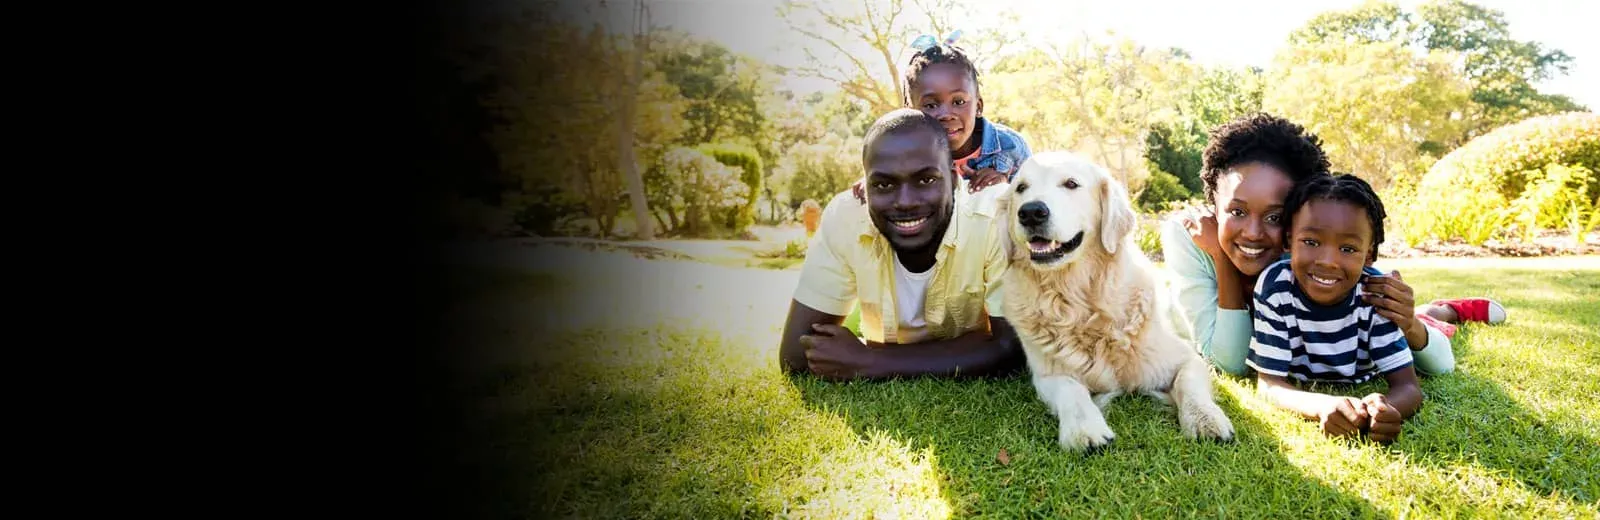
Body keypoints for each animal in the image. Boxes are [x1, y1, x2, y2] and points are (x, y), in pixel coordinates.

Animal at [998, 149, 1235, 448]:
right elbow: (1070, 389)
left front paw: (1206, 419)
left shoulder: (1186, 357)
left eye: (1071, 184)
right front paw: (1085, 430)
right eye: (1021, 188)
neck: (1080, 305)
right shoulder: (1047, 375)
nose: (1030, 212)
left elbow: (1189, 382)